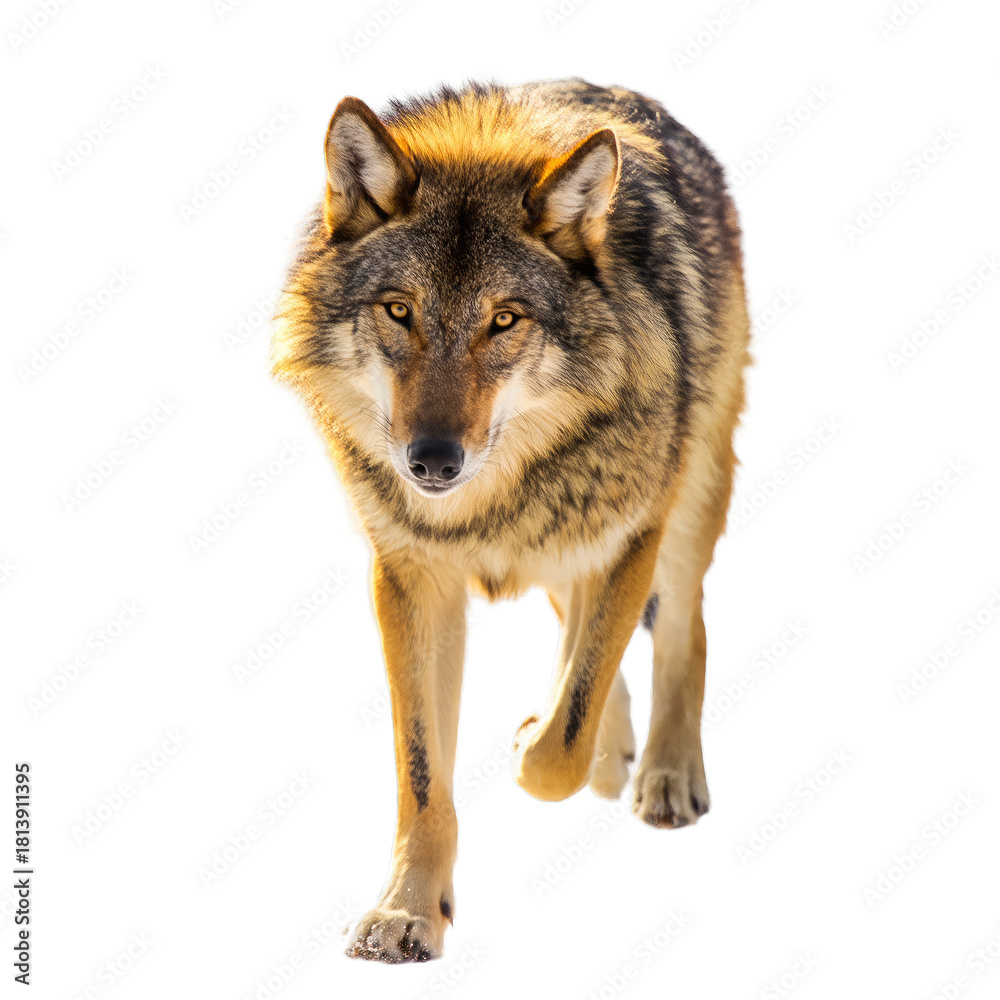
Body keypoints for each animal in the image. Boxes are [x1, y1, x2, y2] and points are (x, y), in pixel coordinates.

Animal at [272, 77, 750, 962]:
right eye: (399, 310)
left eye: (504, 319)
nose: (431, 461)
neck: (484, 504)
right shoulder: (410, 578)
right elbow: (423, 773)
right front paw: (407, 912)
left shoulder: (631, 535)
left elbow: (560, 744)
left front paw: (543, 746)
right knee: (583, 624)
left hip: (687, 497)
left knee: (681, 627)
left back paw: (665, 772)